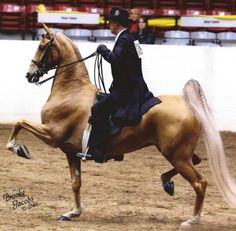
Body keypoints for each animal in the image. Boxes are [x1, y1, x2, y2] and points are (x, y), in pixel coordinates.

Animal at [5, 25, 236, 226]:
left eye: (42, 46)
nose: (29, 75)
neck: (71, 91)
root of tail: (188, 106)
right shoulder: (70, 152)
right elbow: (76, 183)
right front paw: (73, 212)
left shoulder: (52, 134)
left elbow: (19, 123)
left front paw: (19, 149)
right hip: (178, 153)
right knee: (196, 161)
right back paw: (167, 182)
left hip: (176, 155)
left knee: (200, 182)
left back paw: (192, 219)